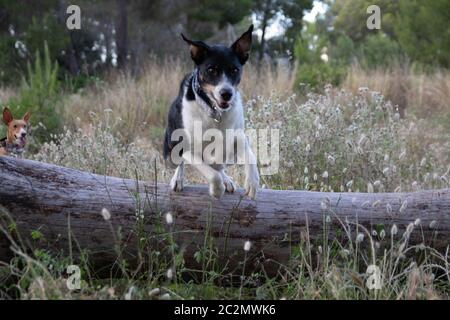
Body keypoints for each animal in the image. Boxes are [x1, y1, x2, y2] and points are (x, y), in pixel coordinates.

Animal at [163, 25, 258, 199]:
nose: (227, 93)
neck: (215, 113)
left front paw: (252, 182)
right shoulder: (187, 148)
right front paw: (216, 189)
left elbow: (250, 155)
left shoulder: (238, 135)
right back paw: (178, 179)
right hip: (170, 149)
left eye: (234, 70)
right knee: (180, 163)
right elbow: (211, 173)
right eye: (211, 70)